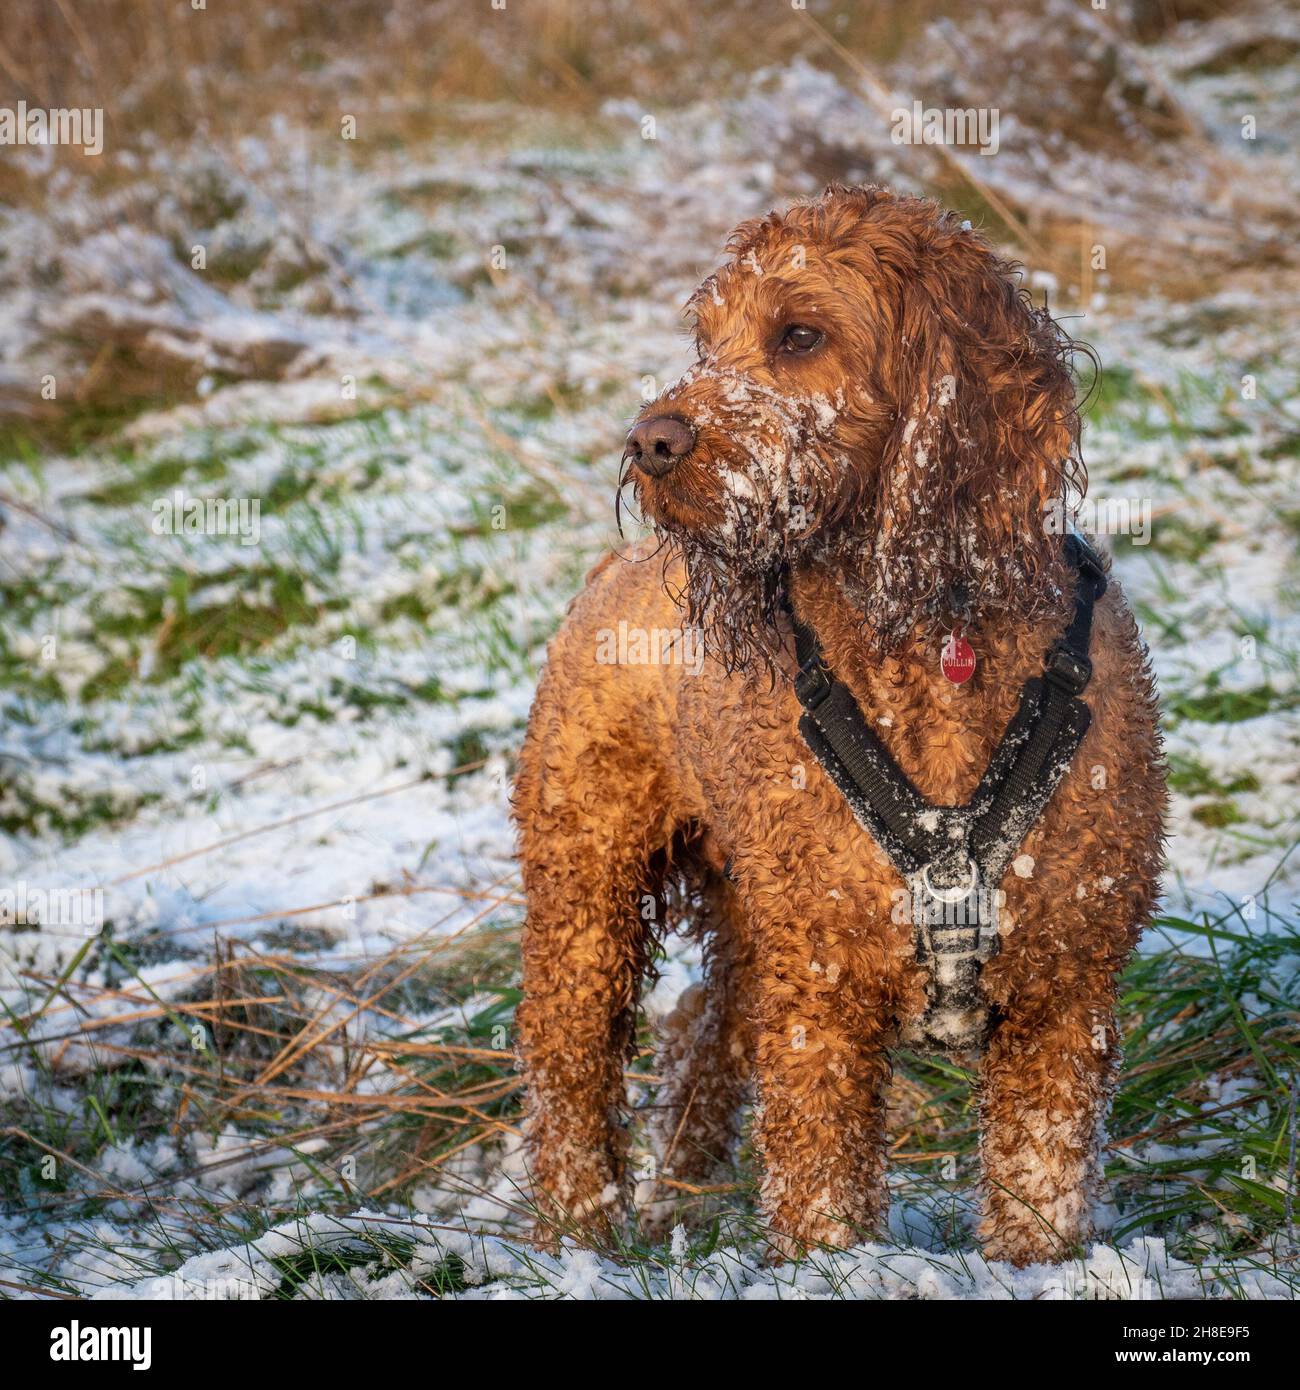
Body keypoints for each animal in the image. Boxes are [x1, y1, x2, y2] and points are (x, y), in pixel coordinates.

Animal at [511, 187, 1167, 1273]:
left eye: (799, 335)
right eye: (707, 339)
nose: (650, 441)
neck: (934, 640)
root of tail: (614, 567)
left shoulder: (1062, 995)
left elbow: (1038, 1185)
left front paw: (1034, 1268)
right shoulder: (821, 1003)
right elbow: (820, 1192)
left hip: (749, 911)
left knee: (698, 1026)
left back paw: (682, 1192)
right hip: (586, 891)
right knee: (566, 1066)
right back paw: (576, 1231)